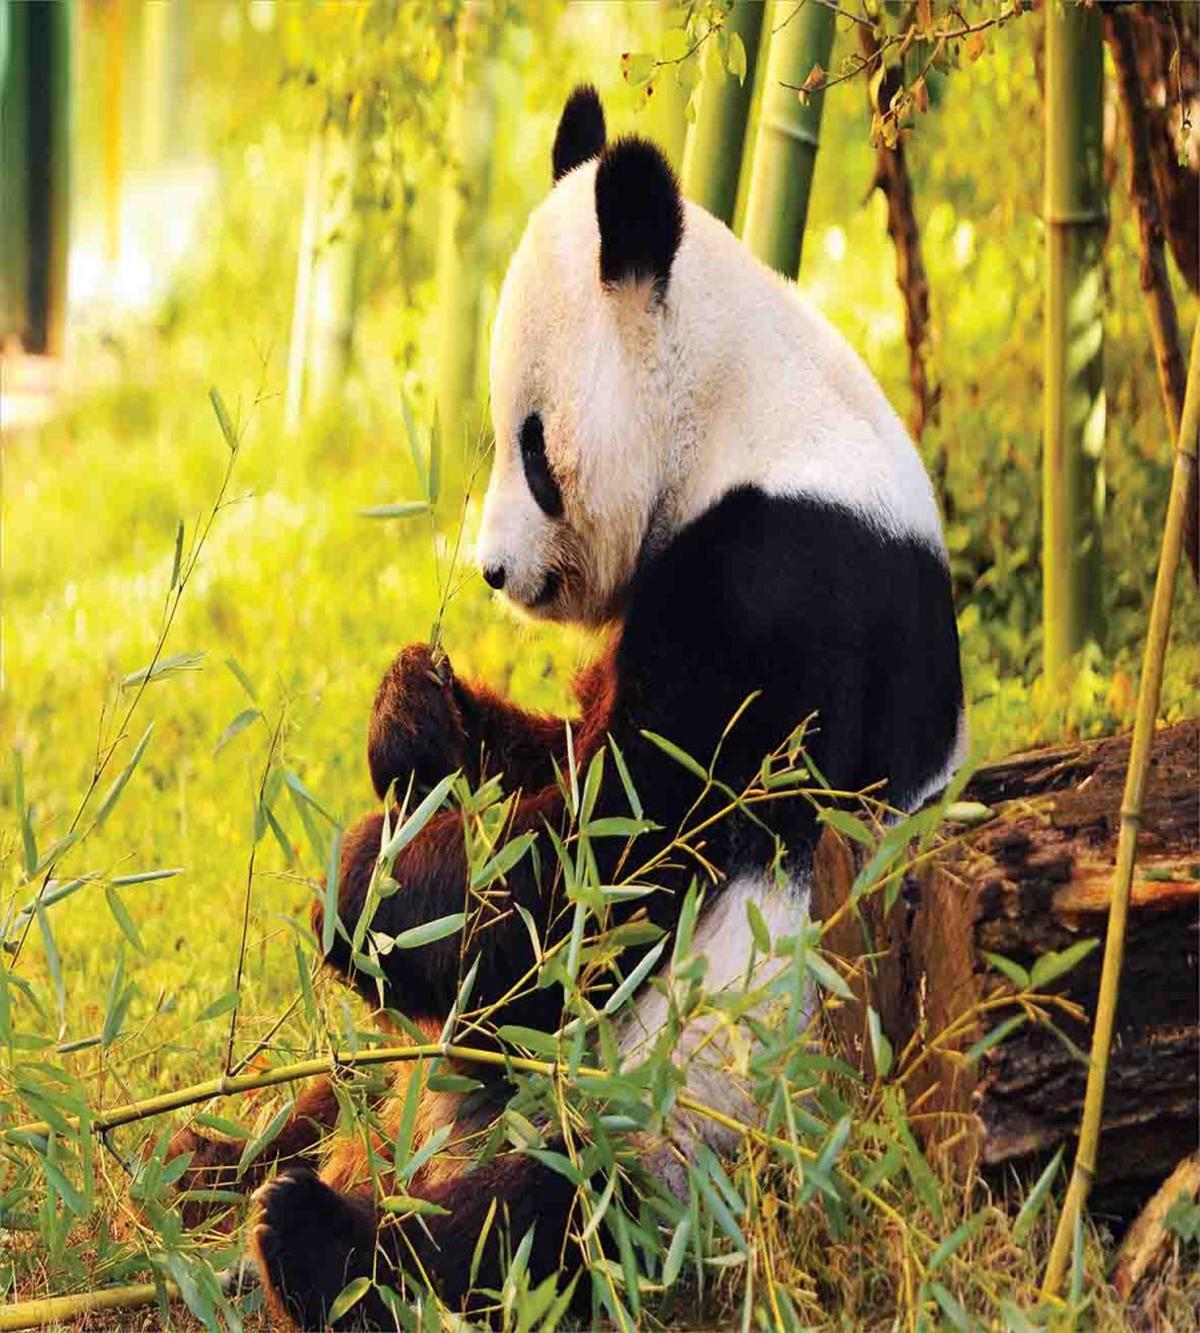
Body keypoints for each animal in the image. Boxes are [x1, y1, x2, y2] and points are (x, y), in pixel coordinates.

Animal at [193, 85, 965, 1328]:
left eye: (533, 447)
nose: (495, 572)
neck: (743, 412)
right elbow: (557, 762)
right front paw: (413, 710)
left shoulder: (784, 584)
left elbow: (615, 866)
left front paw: (367, 884)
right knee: (342, 1094)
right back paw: (214, 1162)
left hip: (688, 1115)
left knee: (545, 1227)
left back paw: (319, 1243)